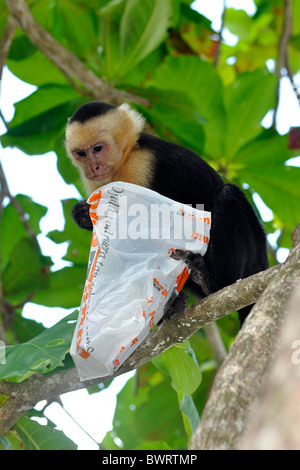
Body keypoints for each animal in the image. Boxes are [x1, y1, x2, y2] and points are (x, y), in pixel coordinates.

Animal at [65, 101, 268, 324]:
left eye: (98, 148)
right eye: (81, 153)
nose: (93, 167)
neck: (125, 159)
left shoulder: (140, 167)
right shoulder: (96, 183)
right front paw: (83, 215)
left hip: (252, 256)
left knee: (228, 195)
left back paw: (215, 283)